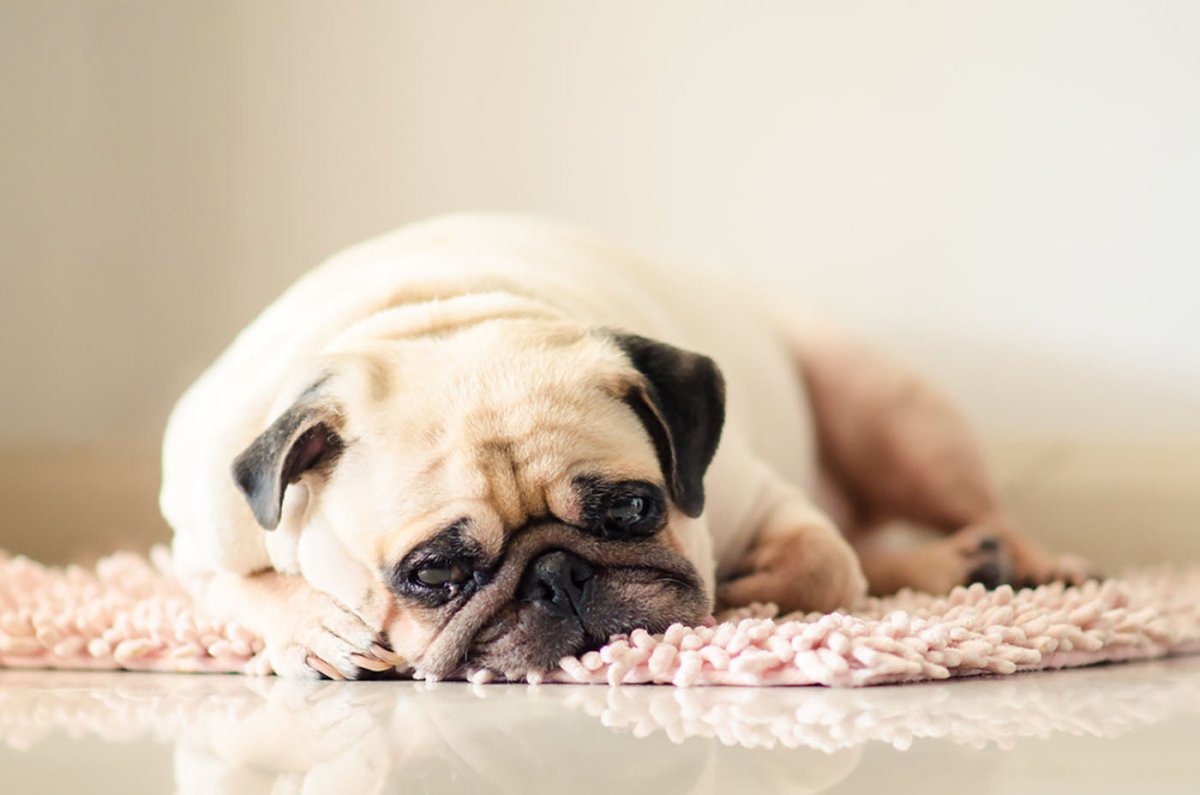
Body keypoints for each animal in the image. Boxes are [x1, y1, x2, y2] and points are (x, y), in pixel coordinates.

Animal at [162, 211, 1099, 677]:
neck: (439, 315)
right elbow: (242, 591)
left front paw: (749, 590)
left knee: (954, 514)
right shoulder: (196, 544)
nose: (557, 575)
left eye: (635, 508)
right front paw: (318, 630)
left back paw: (1026, 562)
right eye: (434, 573)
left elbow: (825, 563)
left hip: (890, 411)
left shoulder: (758, 495)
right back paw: (960, 563)